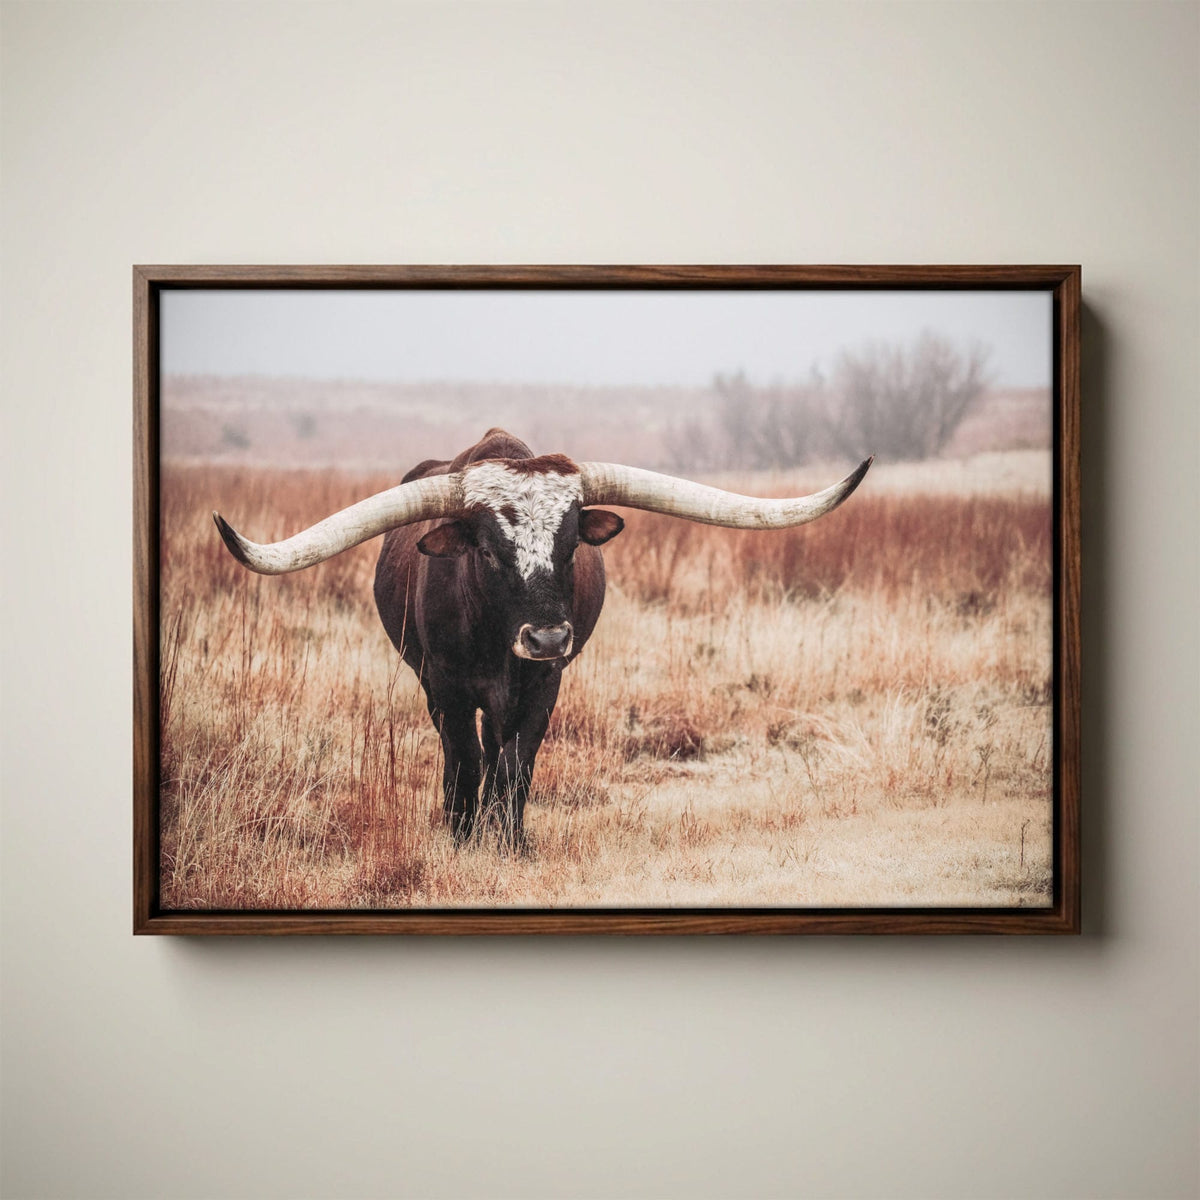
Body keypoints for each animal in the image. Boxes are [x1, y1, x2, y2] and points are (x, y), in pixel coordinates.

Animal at [213, 429, 871, 846]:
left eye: (571, 543)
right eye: (485, 550)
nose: (549, 637)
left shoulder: (544, 688)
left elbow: (516, 764)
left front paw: (511, 841)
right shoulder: (447, 689)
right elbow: (465, 761)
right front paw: (463, 837)